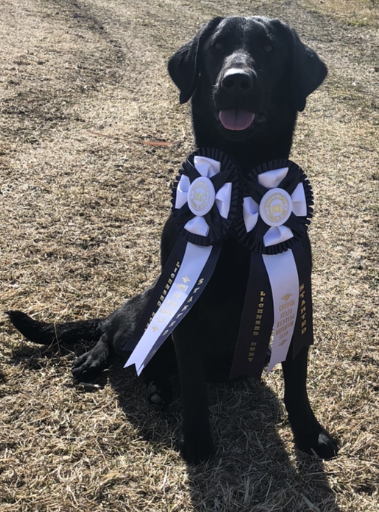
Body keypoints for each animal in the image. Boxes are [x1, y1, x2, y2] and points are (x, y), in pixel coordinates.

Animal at [6, 16, 338, 464]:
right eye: (217, 47)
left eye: (269, 49)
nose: (236, 81)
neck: (240, 185)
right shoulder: (186, 308)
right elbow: (194, 387)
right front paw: (197, 443)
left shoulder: (296, 293)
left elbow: (296, 378)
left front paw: (309, 432)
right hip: (148, 309)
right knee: (112, 333)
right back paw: (96, 358)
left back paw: (159, 388)